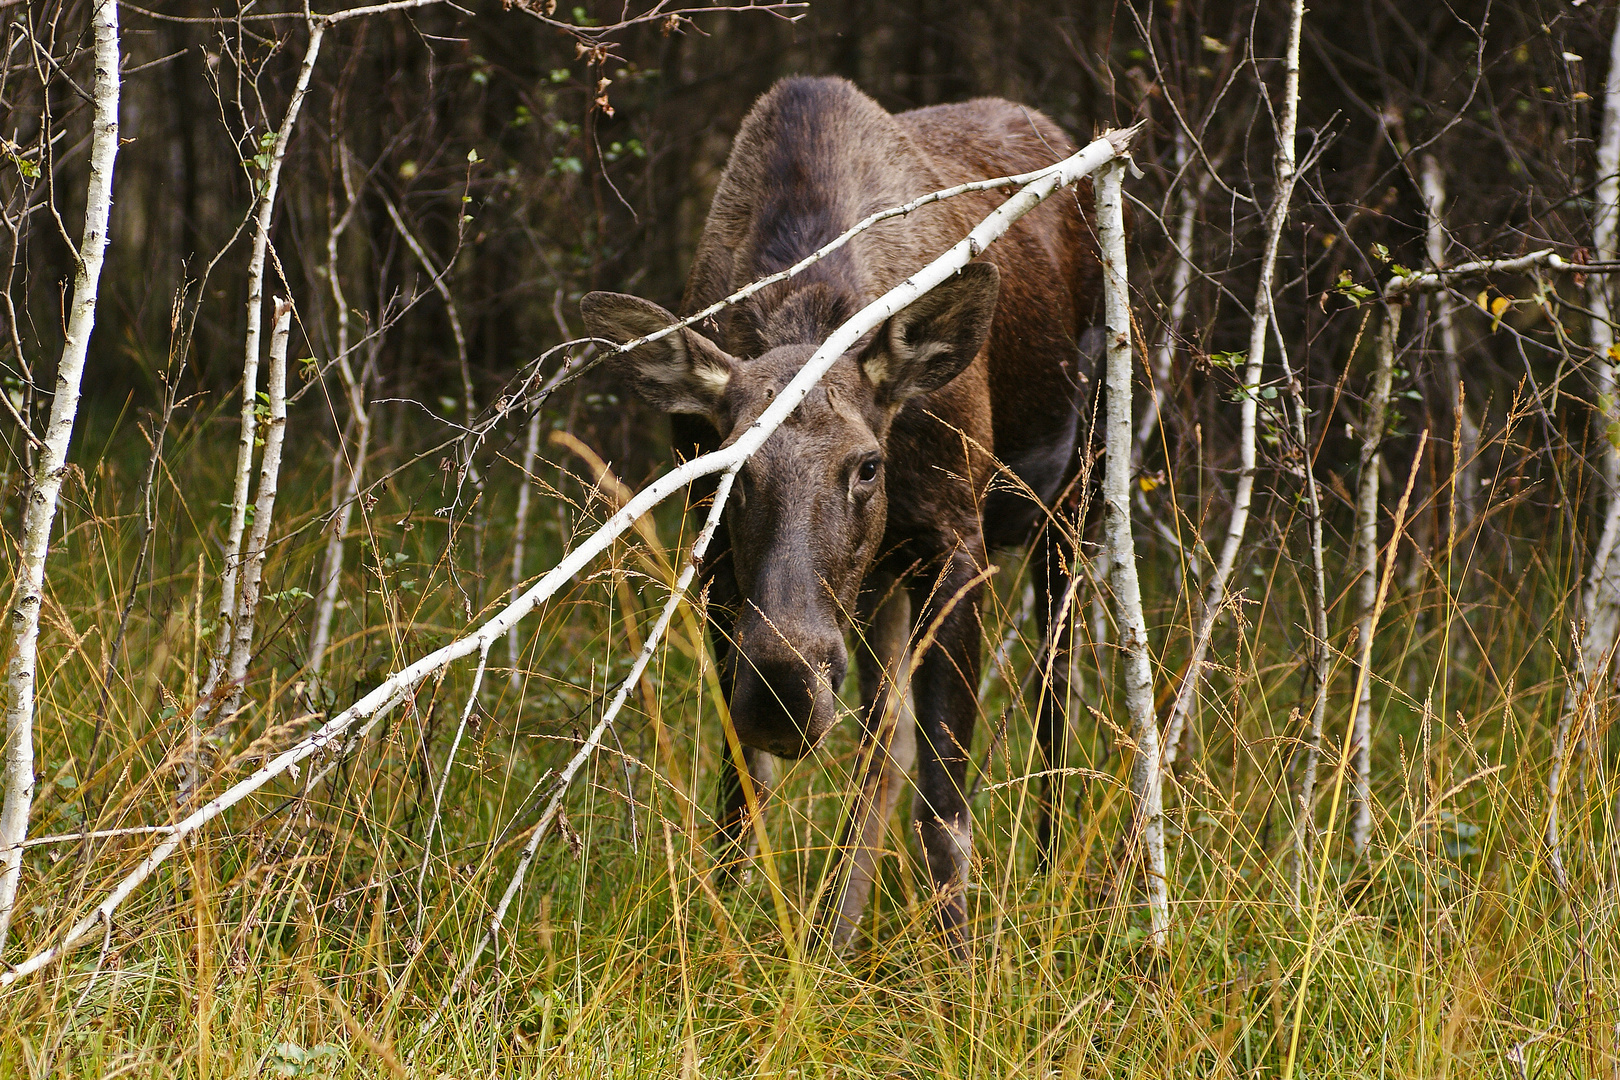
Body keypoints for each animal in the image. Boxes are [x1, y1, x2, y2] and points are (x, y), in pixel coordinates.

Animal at [589, 76, 1108, 952]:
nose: (783, 689)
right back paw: (837, 935)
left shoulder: (955, 540)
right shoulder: (720, 568)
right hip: (878, 583)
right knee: (883, 740)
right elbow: (743, 792)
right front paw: (735, 937)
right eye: (724, 469)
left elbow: (946, 805)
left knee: (1052, 703)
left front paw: (961, 971)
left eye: (868, 465)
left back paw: (1045, 874)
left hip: (1073, 496)